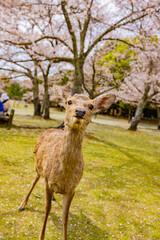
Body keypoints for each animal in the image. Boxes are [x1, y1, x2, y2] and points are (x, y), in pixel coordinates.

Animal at [18, 93, 115, 239]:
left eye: (91, 106)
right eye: (69, 101)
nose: (80, 111)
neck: (64, 176)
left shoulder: (72, 188)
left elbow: (65, 216)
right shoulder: (48, 182)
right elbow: (47, 210)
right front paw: (41, 236)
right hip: (38, 166)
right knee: (35, 180)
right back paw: (23, 204)